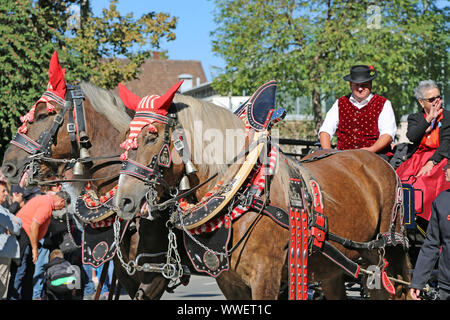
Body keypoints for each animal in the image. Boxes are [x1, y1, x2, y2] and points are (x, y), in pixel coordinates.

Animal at [115, 85, 412, 300]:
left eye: (152, 135)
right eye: (126, 137)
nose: (123, 200)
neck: (239, 193)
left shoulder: (265, 277)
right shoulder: (229, 282)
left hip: (382, 257)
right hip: (334, 267)